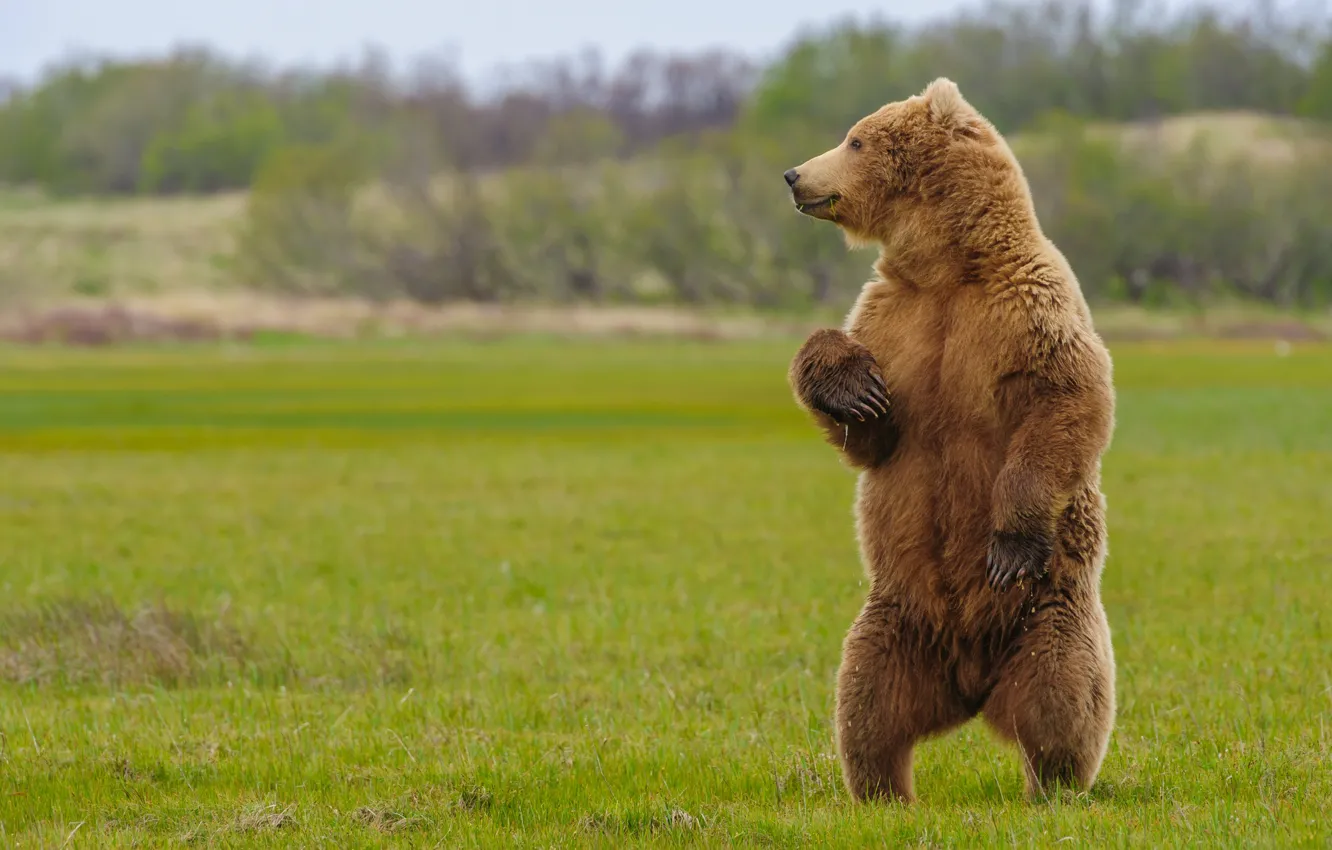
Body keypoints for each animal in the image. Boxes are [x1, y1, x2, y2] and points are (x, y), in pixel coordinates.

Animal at [782, 78, 1117, 804]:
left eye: (855, 139)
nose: (793, 174)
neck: (948, 269)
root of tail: (970, 686)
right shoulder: (894, 318)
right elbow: (872, 436)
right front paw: (851, 387)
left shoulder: (1029, 307)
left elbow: (1066, 402)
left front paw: (1010, 544)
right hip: (895, 621)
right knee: (866, 705)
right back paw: (882, 791)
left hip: (1048, 614)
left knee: (1061, 697)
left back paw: (1053, 785)